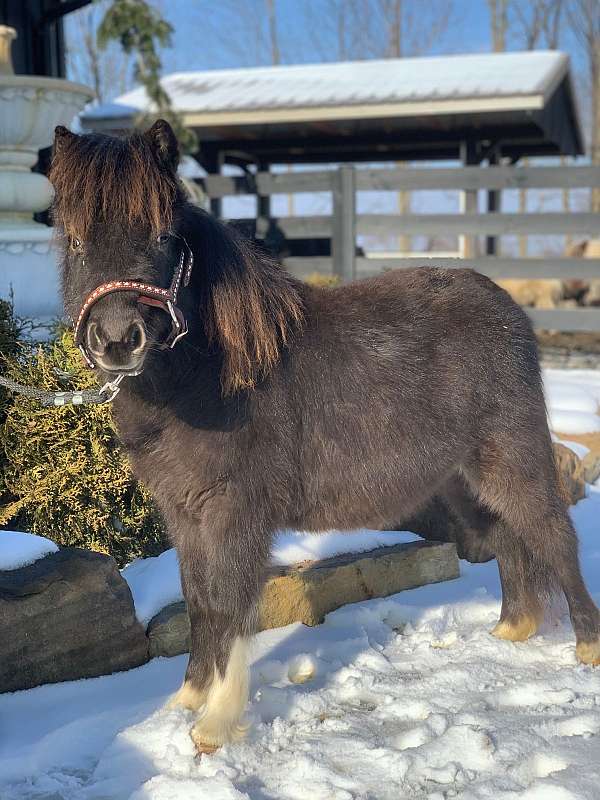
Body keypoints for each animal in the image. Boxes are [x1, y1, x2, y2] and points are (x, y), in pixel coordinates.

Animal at [49, 119, 600, 754]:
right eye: (74, 239)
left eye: (163, 235)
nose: (118, 340)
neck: (211, 377)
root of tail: (506, 307)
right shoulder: (185, 517)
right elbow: (199, 602)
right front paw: (187, 699)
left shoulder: (235, 515)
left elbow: (231, 604)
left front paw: (215, 723)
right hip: (462, 481)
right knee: (506, 537)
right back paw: (510, 632)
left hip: (512, 459)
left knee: (554, 535)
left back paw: (586, 647)